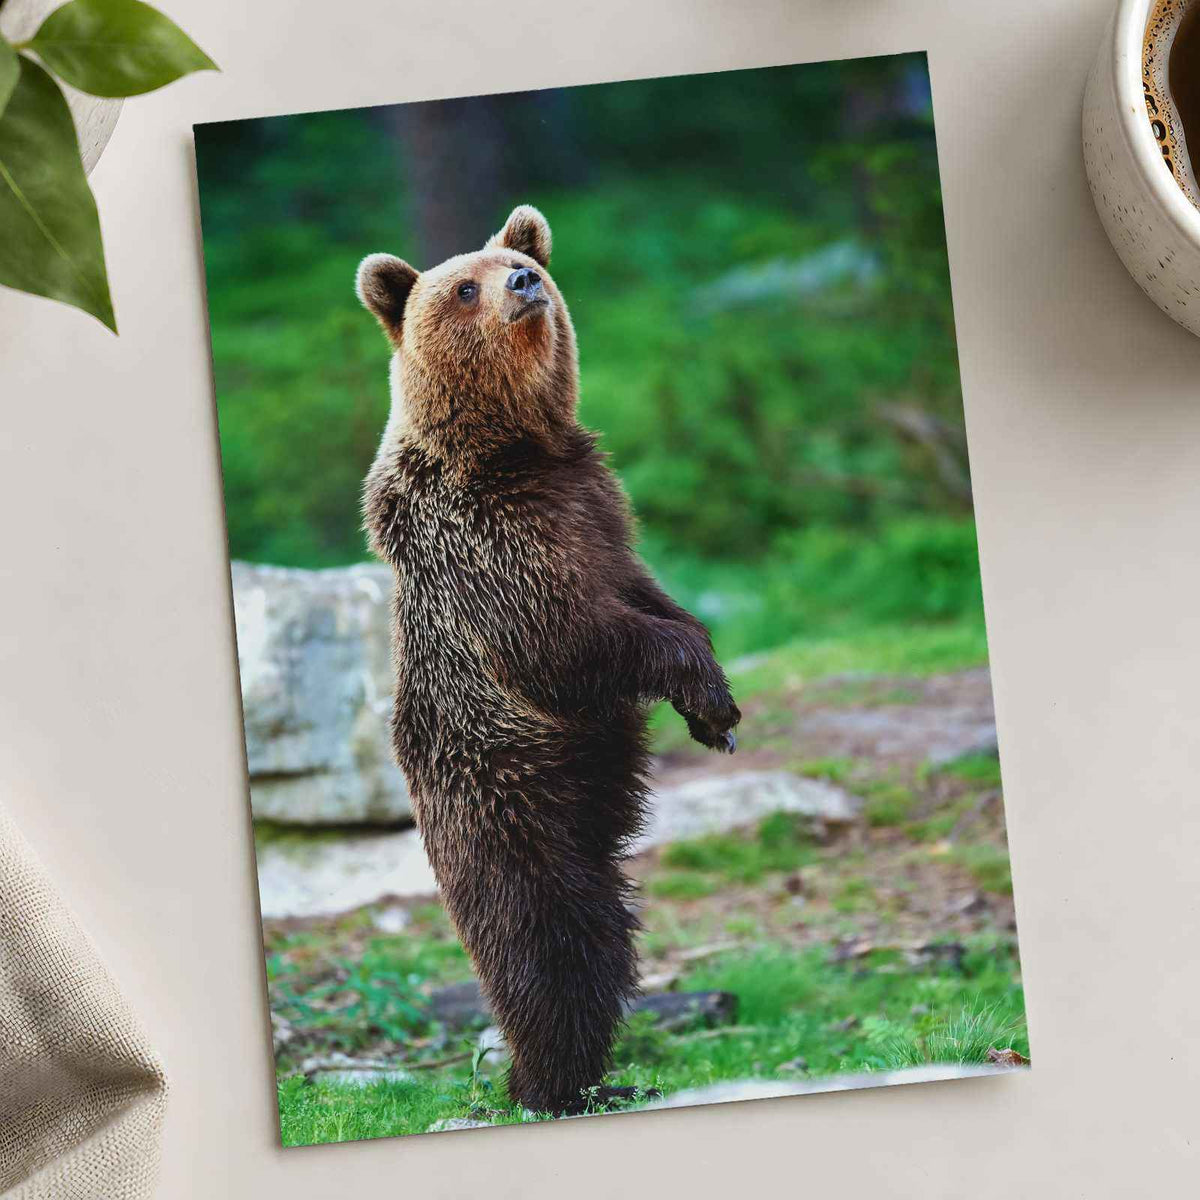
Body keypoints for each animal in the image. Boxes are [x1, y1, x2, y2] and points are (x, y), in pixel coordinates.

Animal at [357, 205, 740, 1115]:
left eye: (513, 259)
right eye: (464, 286)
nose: (525, 282)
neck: (516, 447)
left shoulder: (597, 508)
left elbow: (651, 595)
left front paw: (715, 707)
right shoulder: (490, 548)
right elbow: (568, 638)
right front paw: (706, 693)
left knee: (602, 937)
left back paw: (597, 1078)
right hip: (509, 798)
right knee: (544, 938)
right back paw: (549, 1081)